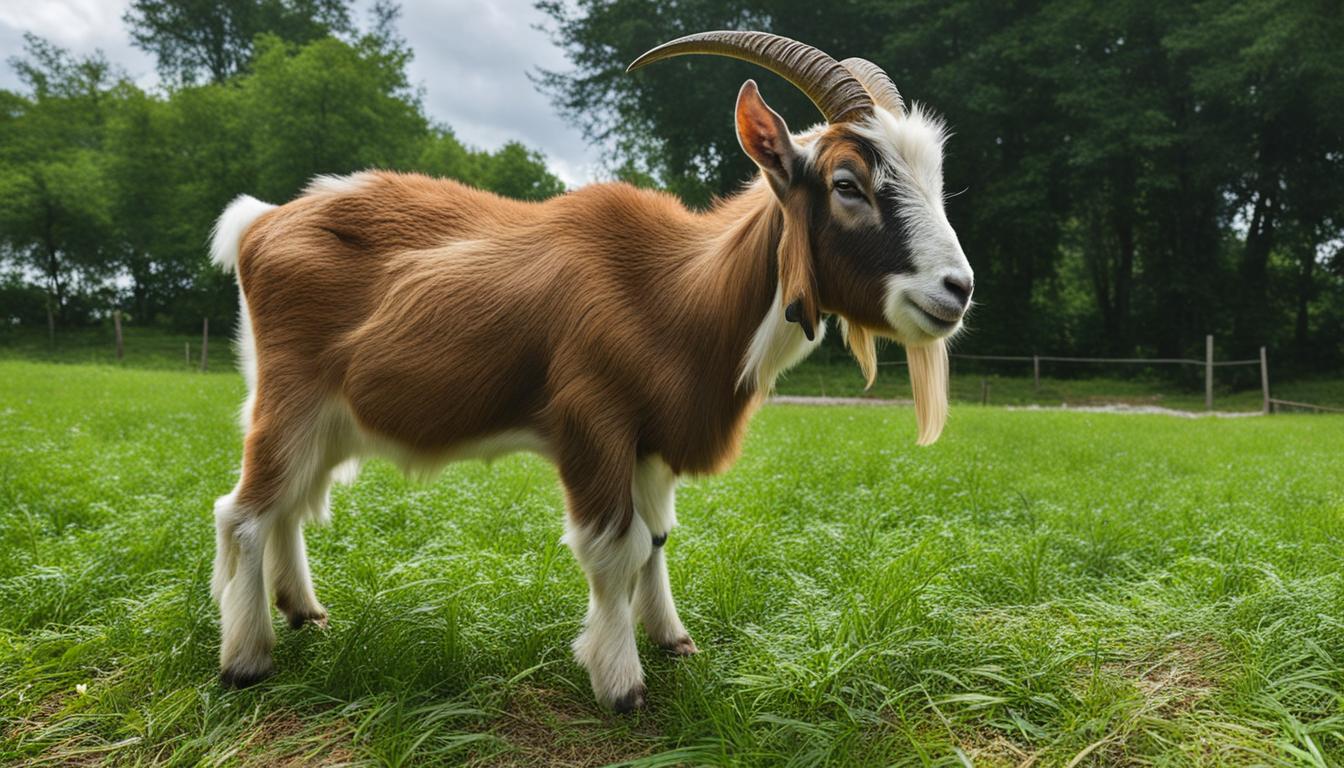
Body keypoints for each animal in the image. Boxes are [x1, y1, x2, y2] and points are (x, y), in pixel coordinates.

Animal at [208, 31, 974, 712]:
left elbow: (657, 537)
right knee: (244, 511)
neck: (672, 291)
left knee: (291, 504)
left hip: (330, 419)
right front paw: (621, 681)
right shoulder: (592, 423)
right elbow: (616, 546)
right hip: (291, 395)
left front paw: (671, 638)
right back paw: (246, 659)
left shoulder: (650, 438)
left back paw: (303, 611)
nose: (958, 289)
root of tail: (262, 223)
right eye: (848, 183)